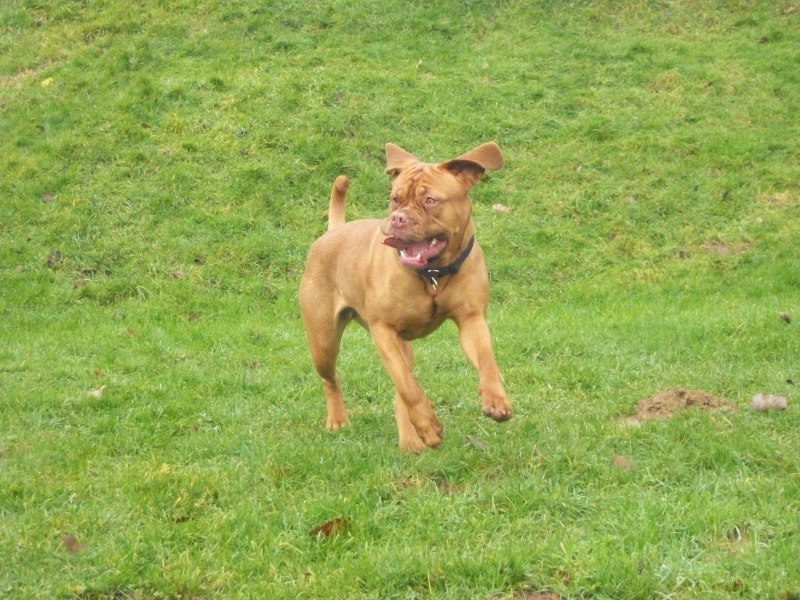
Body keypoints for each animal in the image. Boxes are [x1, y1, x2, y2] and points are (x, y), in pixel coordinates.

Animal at [300, 142, 512, 450]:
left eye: (431, 200)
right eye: (395, 199)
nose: (399, 218)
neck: (433, 273)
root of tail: (336, 230)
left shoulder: (471, 320)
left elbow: (486, 360)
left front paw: (496, 399)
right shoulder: (384, 331)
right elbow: (409, 387)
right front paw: (429, 424)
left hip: (402, 345)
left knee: (400, 392)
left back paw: (410, 440)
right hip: (323, 342)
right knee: (334, 378)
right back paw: (339, 420)